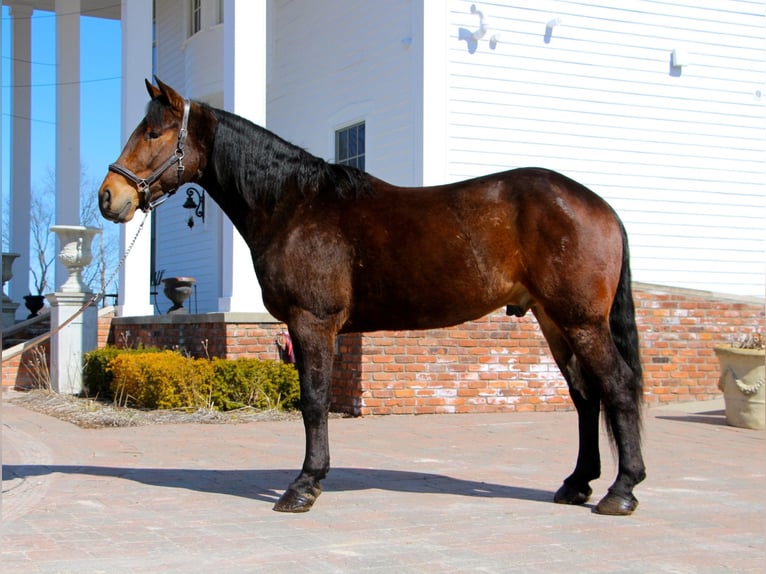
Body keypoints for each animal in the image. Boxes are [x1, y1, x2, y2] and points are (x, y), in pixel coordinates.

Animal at [99, 80, 644, 516]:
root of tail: (599, 206)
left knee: (616, 387)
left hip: (581, 321)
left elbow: (314, 401)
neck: (294, 204)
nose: (109, 197)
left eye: (153, 134)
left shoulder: (312, 322)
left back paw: (621, 490)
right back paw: (577, 484)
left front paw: (304, 486)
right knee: (585, 395)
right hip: (554, 321)